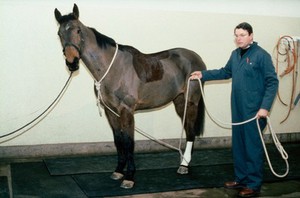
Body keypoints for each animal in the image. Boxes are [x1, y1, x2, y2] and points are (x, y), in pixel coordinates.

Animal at [54, 3, 206, 189]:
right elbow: (118, 140)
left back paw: (184, 166)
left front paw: (129, 177)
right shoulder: (111, 111)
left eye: (78, 30)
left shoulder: (126, 110)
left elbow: (129, 142)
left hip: (191, 102)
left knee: (190, 131)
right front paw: (119, 171)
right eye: (59, 33)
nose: (72, 62)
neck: (112, 69)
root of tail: (196, 58)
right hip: (179, 102)